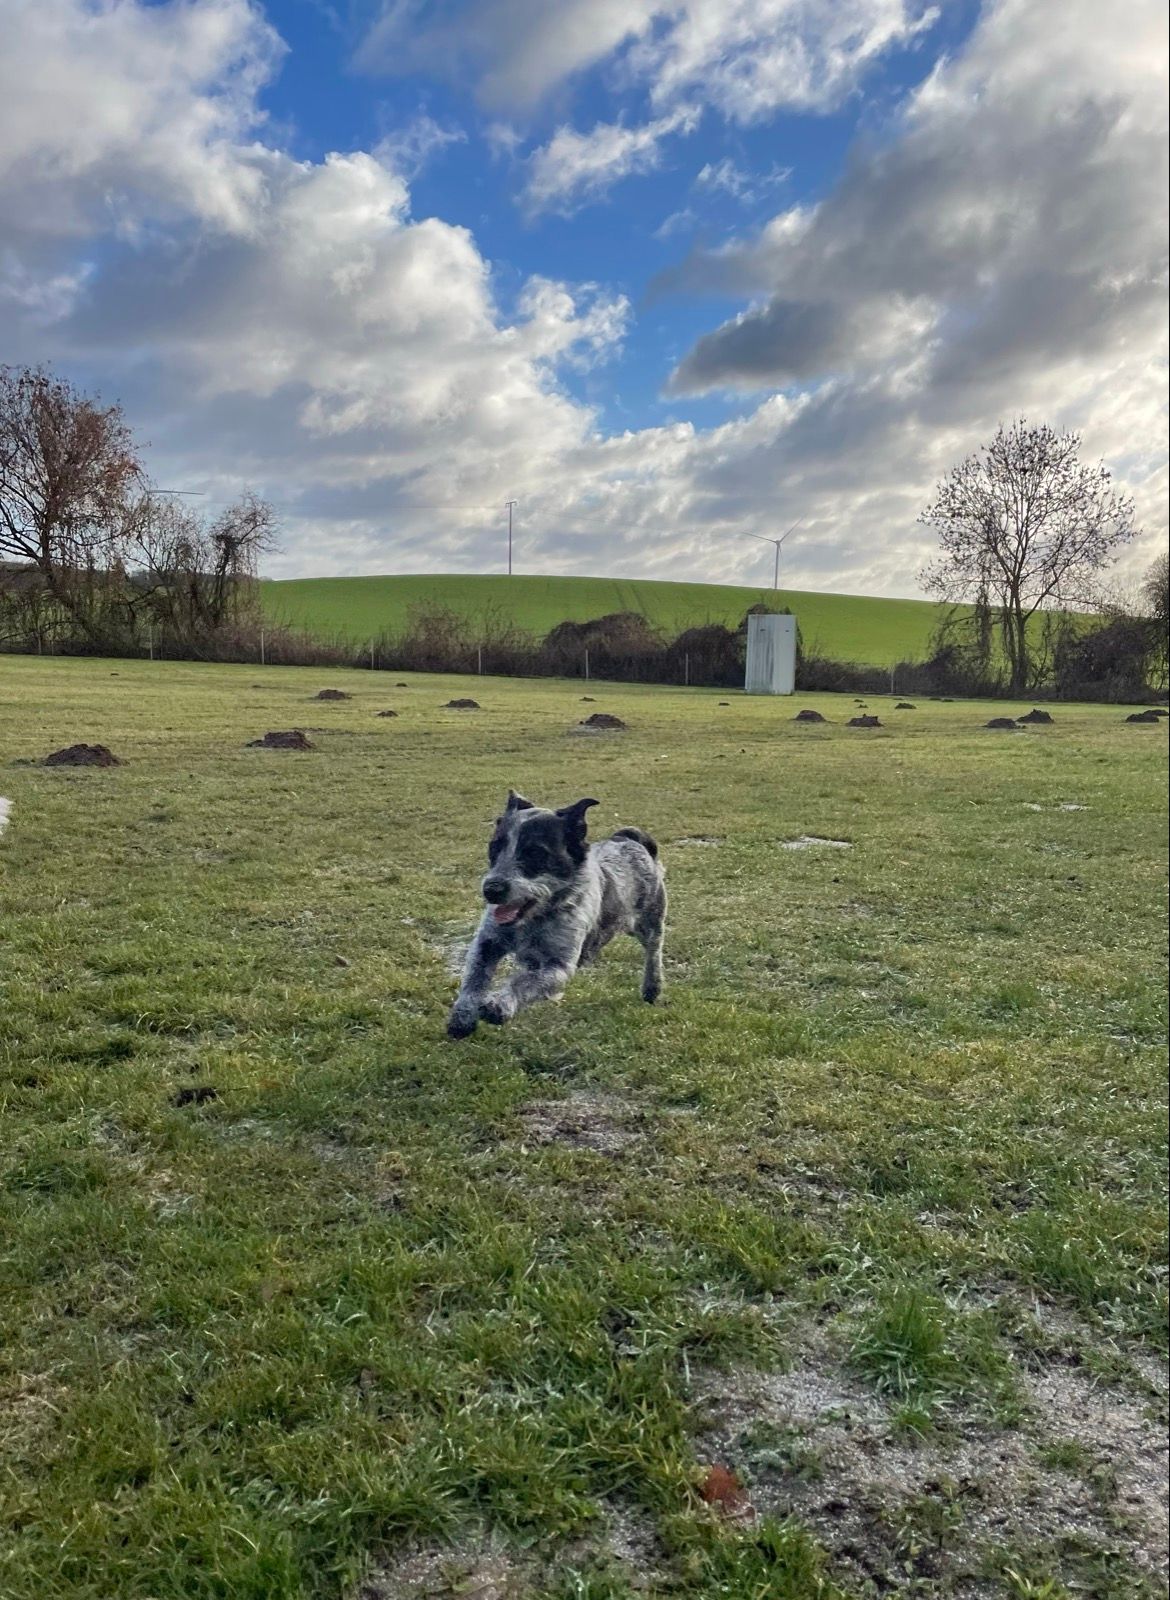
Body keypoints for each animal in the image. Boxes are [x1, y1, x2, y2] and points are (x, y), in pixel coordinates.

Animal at [447, 790, 666, 1039]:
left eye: (535, 852)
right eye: (494, 846)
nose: (491, 890)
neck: (534, 920)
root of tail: (630, 839)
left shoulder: (559, 965)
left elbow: (525, 982)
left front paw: (499, 1005)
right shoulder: (487, 943)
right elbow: (474, 979)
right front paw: (462, 1018)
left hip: (650, 923)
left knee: (654, 952)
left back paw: (652, 988)